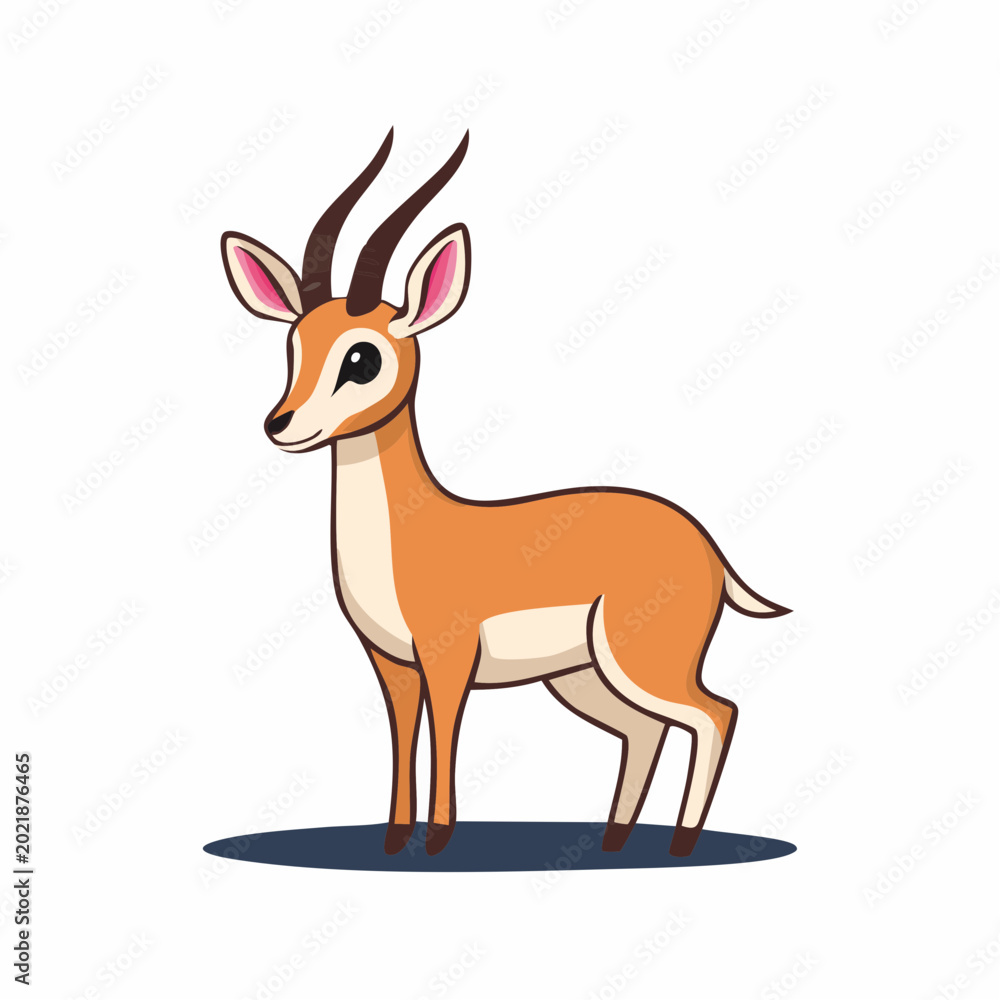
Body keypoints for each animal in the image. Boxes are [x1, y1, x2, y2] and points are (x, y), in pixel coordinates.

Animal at [220, 129, 790, 858]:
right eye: (295, 345)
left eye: (361, 358)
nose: (281, 424)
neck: (407, 532)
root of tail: (709, 547)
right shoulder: (391, 664)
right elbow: (402, 738)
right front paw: (394, 838)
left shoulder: (449, 657)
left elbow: (445, 736)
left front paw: (437, 840)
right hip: (582, 675)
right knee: (646, 729)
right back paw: (612, 841)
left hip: (642, 662)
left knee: (716, 712)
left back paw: (681, 845)